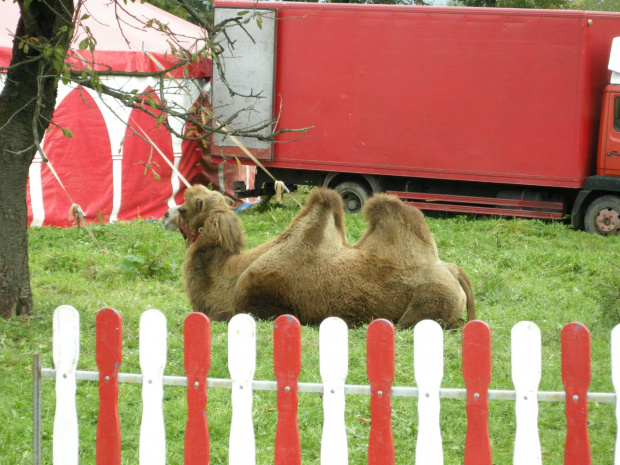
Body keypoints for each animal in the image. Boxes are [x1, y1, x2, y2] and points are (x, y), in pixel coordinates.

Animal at [163, 183, 474, 328]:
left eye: (184, 208)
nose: (165, 215)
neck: (232, 275)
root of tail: (452, 270)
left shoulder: (257, 304)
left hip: (429, 303)